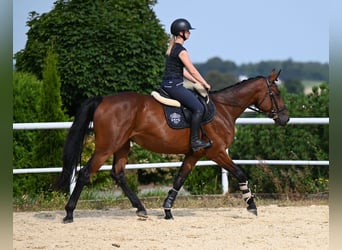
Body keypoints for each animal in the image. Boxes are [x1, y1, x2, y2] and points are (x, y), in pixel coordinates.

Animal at [56, 68, 288, 223]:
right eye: (276, 94)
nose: (285, 119)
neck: (223, 110)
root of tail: (103, 100)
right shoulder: (217, 152)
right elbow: (240, 173)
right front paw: (252, 206)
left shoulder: (194, 154)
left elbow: (180, 178)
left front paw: (167, 210)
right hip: (106, 147)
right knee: (86, 173)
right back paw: (69, 213)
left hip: (122, 145)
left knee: (118, 173)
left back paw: (141, 209)